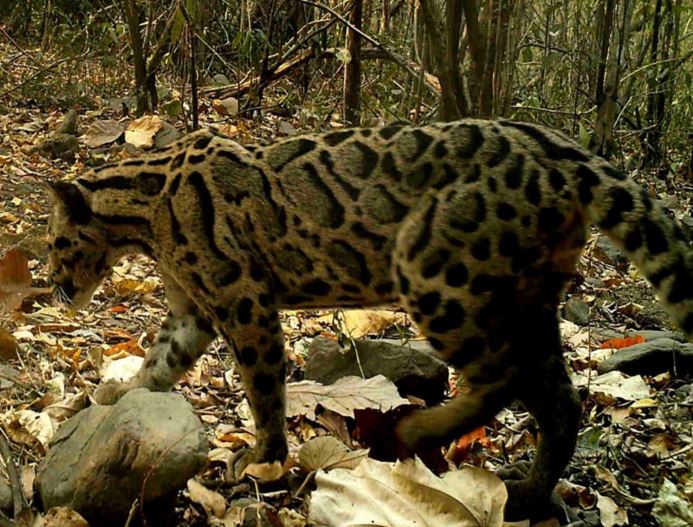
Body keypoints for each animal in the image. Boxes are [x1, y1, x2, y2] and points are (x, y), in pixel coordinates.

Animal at [46, 119, 693, 520]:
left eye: (54, 242)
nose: (54, 285)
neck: (145, 205)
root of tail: (561, 148)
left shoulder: (242, 300)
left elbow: (264, 389)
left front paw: (264, 459)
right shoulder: (193, 311)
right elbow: (160, 362)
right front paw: (115, 394)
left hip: (435, 273)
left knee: (501, 375)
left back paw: (416, 431)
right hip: (531, 299)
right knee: (560, 399)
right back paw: (529, 492)